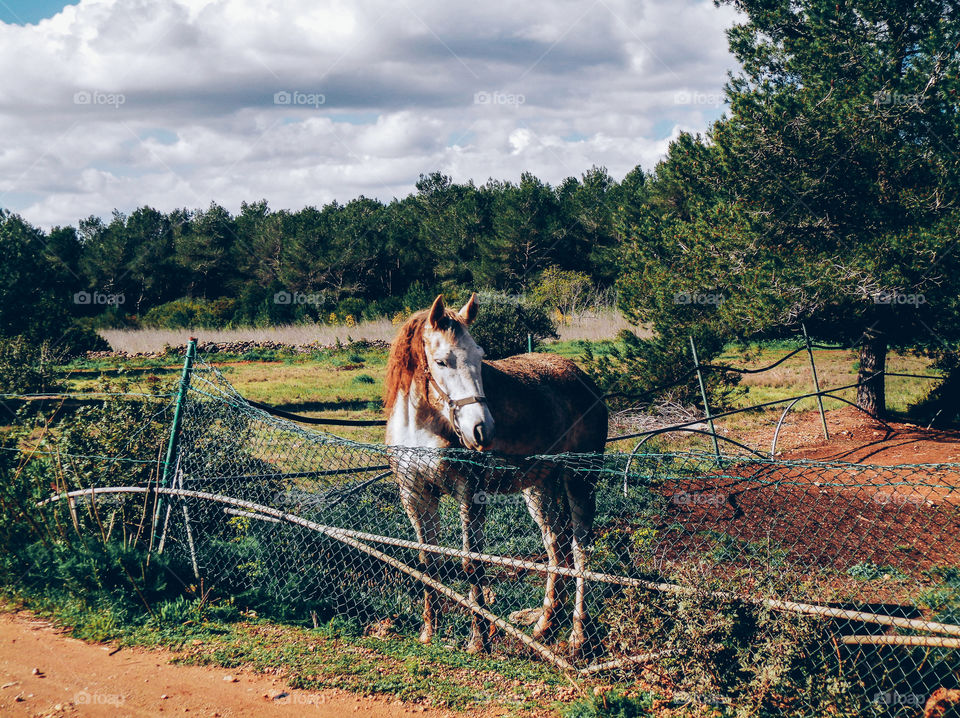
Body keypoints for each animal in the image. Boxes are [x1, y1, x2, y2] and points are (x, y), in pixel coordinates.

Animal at [382, 294, 608, 660]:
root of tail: (584, 380)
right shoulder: (415, 494)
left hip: (580, 479)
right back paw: (544, 625)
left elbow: (472, 565)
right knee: (555, 546)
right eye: (442, 361)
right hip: (539, 486)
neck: (422, 426)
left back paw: (577, 636)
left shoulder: (470, 493)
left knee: (579, 550)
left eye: (480, 357)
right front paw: (429, 632)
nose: (482, 430)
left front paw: (478, 640)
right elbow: (427, 562)